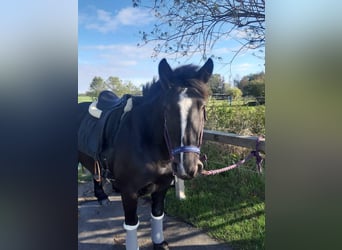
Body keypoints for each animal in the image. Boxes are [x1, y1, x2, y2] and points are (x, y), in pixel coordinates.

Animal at [78, 57, 214, 249]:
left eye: (202, 106)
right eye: (166, 108)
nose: (186, 167)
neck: (147, 142)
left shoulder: (162, 186)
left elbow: (157, 214)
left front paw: (159, 243)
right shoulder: (129, 192)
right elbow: (131, 223)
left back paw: (102, 196)